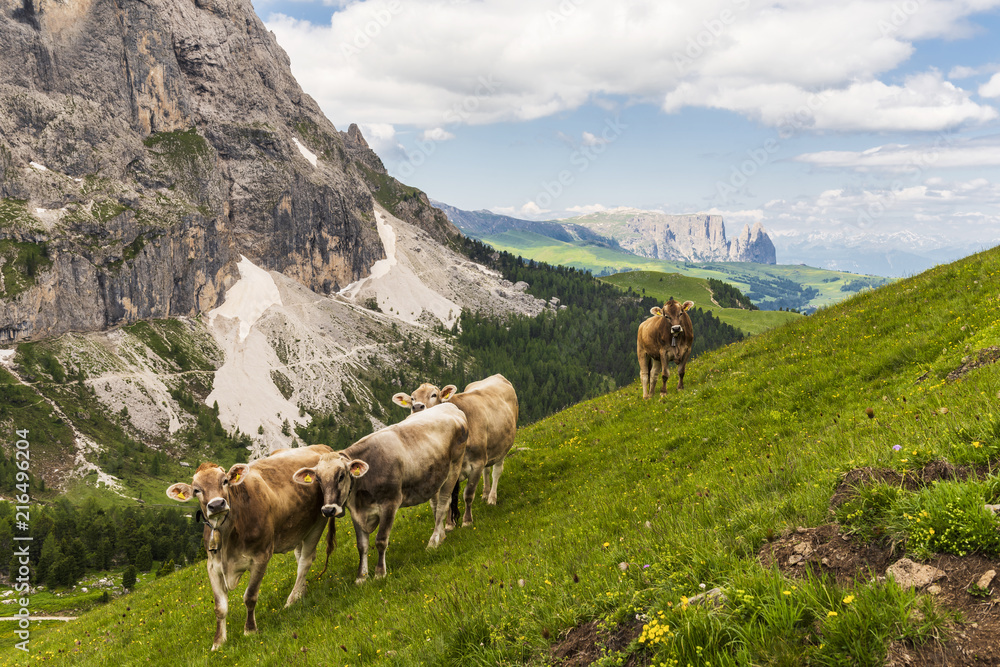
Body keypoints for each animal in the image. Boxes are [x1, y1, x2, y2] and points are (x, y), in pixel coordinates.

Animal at [165, 446, 332, 648]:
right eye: (197, 490)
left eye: (225, 481)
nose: (217, 504)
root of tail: (321, 447)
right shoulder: (212, 566)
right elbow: (220, 607)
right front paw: (218, 642)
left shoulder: (261, 556)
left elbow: (250, 596)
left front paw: (250, 630)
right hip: (299, 527)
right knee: (301, 557)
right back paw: (301, 592)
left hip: (318, 522)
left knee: (305, 562)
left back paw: (291, 600)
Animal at [292, 402, 466, 584]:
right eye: (318, 479)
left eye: (341, 476)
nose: (328, 510)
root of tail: (450, 406)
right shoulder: (357, 512)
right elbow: (361, 545)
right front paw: (361, 577)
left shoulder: (390, 503)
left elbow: (381, 540)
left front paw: (380, 573)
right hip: (435, 477)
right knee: (438, 505)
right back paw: (441, 536)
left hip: (454, 468)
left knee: (442, 506)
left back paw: (433, 542)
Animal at [390, 374, 516, 528]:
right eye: (412, 398)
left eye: (434, 395)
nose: (417, 407)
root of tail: (496, 375)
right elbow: (447, 499)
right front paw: (449, 524)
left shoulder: (477, 462)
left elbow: (468, 494)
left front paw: (467, 521)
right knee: (487, 471)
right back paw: (485, 495)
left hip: (503, 446)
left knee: (496, 471)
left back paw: (492, 498)